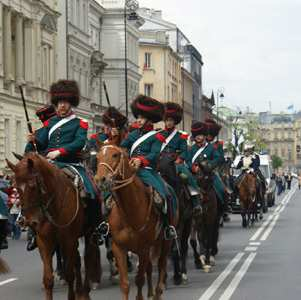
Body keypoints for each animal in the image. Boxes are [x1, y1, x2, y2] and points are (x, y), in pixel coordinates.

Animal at [6, 154, 99, 300]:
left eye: (33, 186)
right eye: (15, 187)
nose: (30, 222)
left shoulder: (68, 240)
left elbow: (70, 274)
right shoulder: (45, 241)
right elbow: (48, 279)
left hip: (88, 233)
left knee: (87, 258)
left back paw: (85, 291)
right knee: (78, 260)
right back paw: (80, 290)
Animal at [95, 145, 177, 300]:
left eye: (115, 155)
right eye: (97, 156)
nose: (100, 180)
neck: (129, 211)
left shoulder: (143, 249)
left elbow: (139, 280)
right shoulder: (119, 248)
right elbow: (125, 284)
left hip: (165, 243)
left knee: (161, 266)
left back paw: (158, 291)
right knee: (150, 268)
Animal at [157, 155, 192, 286]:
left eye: (166, 174)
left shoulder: (178, 226)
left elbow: (175, 250)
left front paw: (177, 276)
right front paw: (164, 278)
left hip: (188, 224)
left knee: (183, 247)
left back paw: (184, 273)